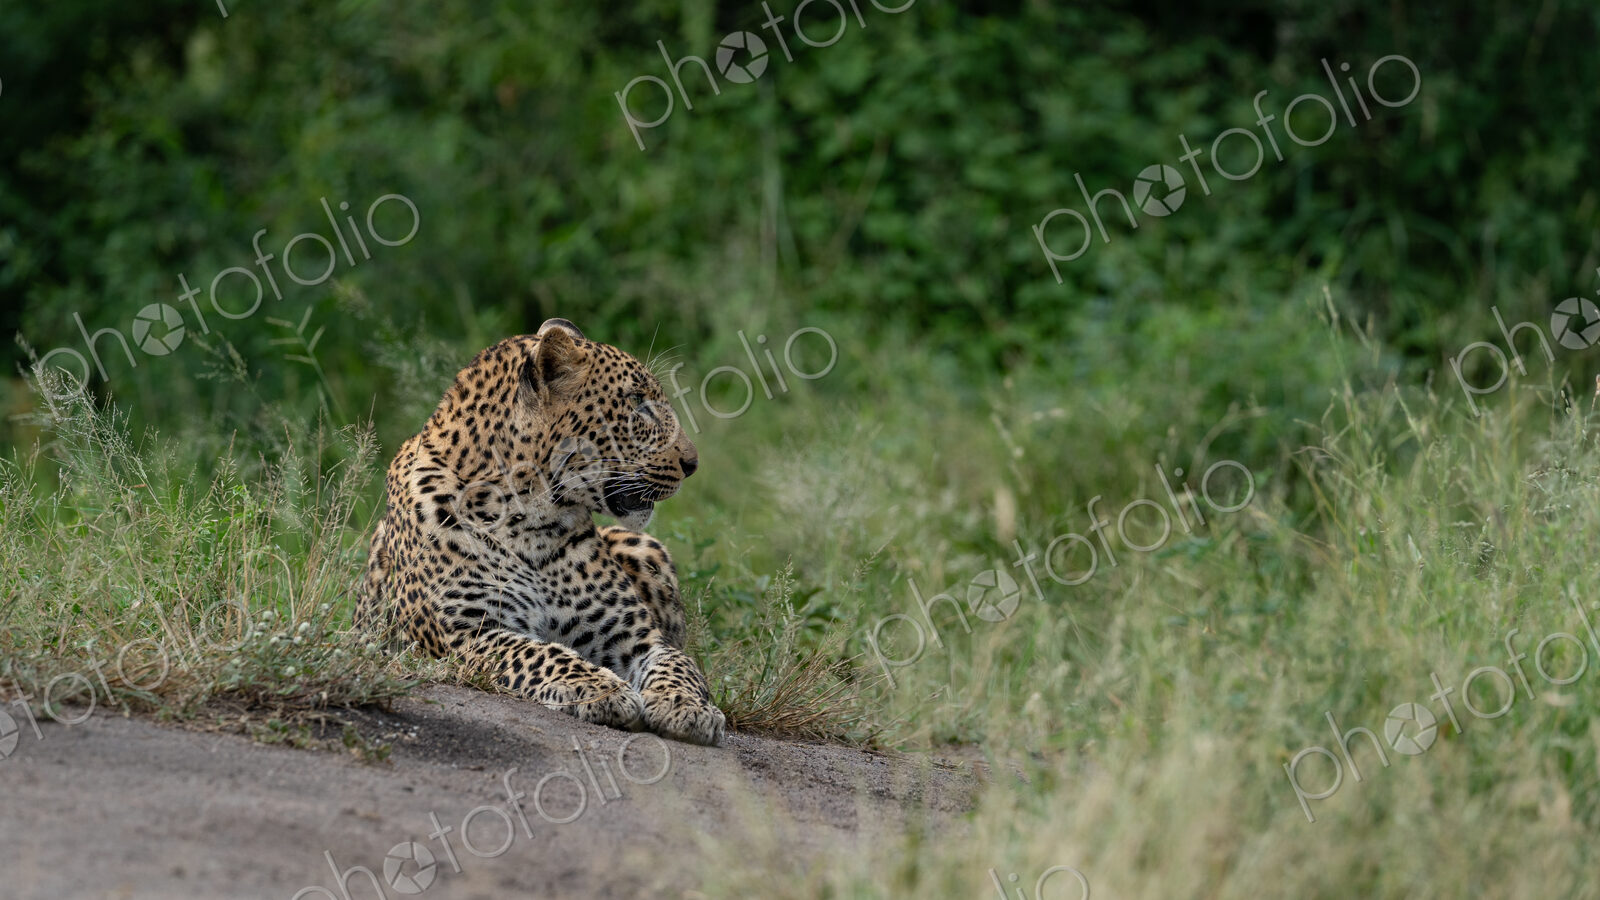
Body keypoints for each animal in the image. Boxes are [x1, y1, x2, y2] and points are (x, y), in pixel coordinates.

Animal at [355, 318, 726, 745]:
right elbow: (542, 653)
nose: (692, 463)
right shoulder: (463, 633)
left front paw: (689, 708)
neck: (529, 520)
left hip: (642, 545)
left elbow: (679, 664)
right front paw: (602, 689)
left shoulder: (636, 640)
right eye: (636, 402)